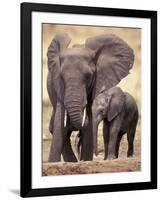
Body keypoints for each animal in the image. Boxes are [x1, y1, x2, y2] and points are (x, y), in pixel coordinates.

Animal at [46, 32, 135, 162]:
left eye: (88, 76)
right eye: (61, 77)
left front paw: (86, 160)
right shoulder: (58, 88)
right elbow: (59, 125)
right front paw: (53, 162)